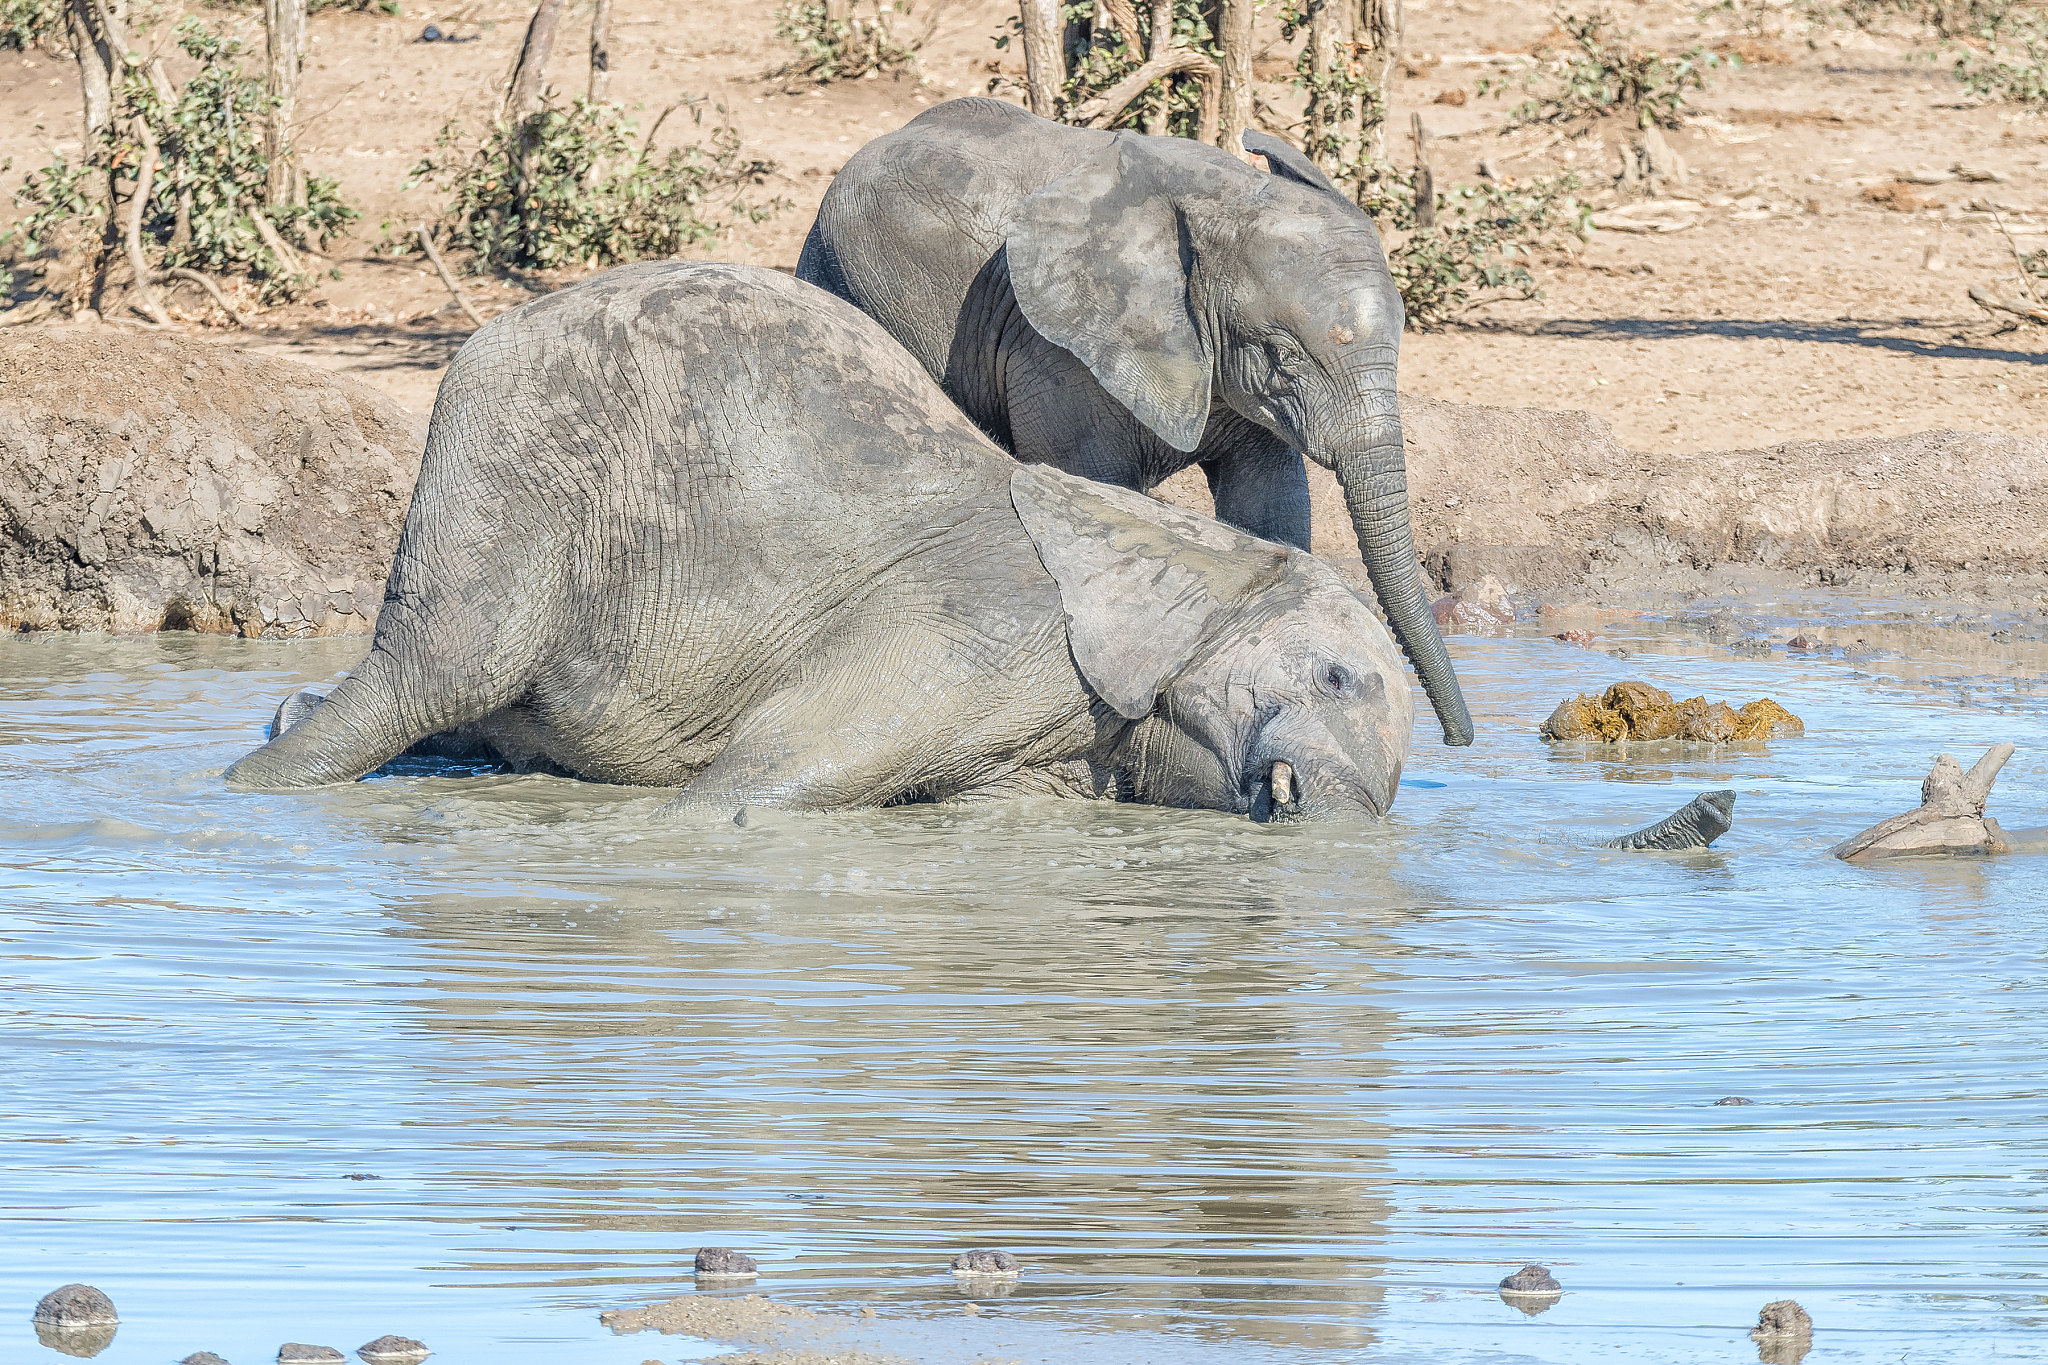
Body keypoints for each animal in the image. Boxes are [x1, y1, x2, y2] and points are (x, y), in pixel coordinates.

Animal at [224, 266, 1409, 822]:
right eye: (1338, 676)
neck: (1195, 560)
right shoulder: (974, 627)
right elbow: (743, 793)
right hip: (507, 467)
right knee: (432, 675)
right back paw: (247, 784)